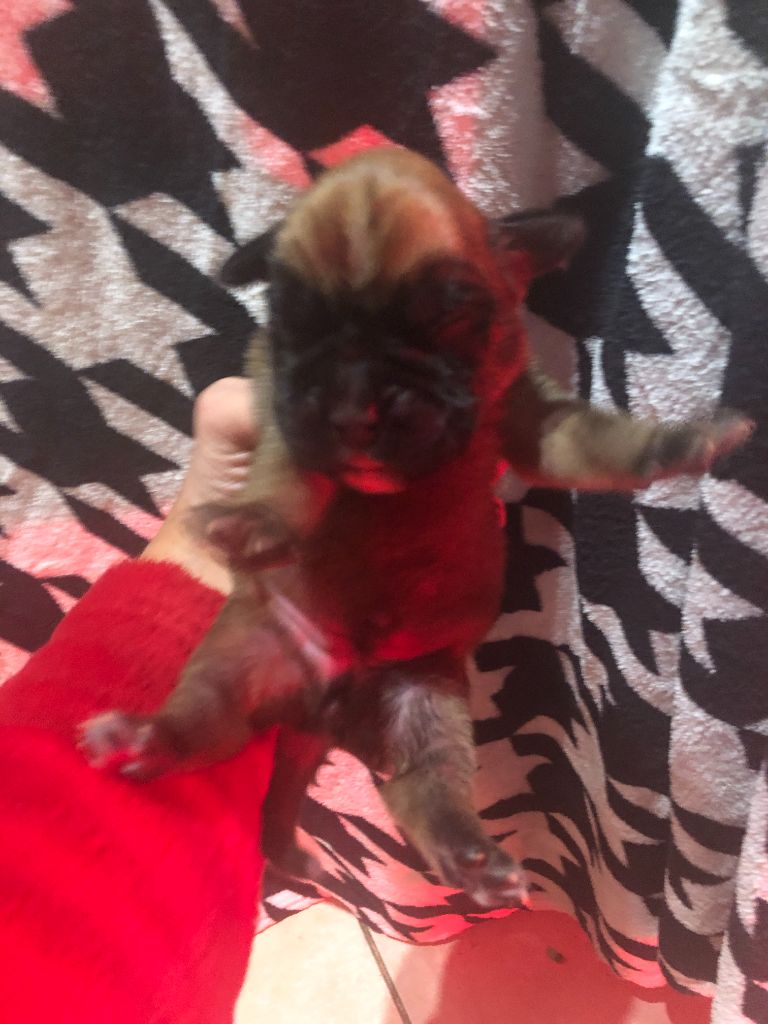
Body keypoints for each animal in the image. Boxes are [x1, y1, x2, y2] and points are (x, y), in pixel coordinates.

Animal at [78, 147, 752, 910]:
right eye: (293, 321)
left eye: (446, 318)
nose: (354, 408)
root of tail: (322, 713)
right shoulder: (282, 417)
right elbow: (285, 479)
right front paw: (252, 521)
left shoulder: (531, 420)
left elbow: (599, 445)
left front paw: (682, 444)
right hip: (243, 657)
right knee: (203, 723)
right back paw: (147, 738)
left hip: (422, 707)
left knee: (427, 792)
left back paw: (470, 859)